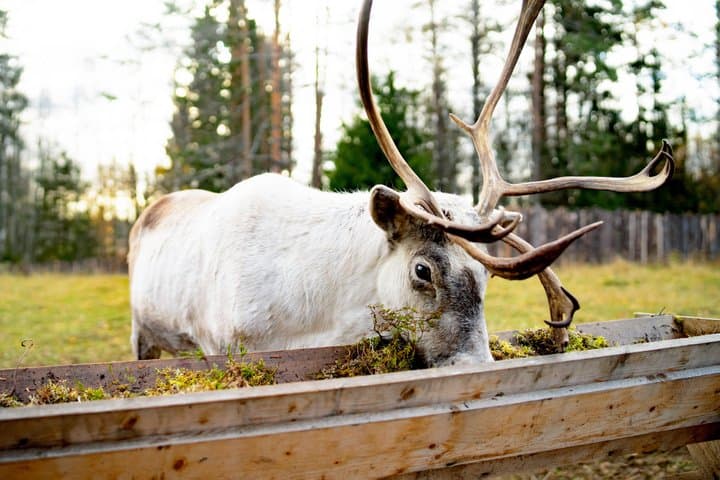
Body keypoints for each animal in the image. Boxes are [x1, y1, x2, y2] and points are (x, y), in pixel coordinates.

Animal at [127, 0, 673, 367]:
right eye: (422, 271)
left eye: (487, 278)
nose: (476, 367)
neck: (315, 317)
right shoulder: (217, 344)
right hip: (141, 331)